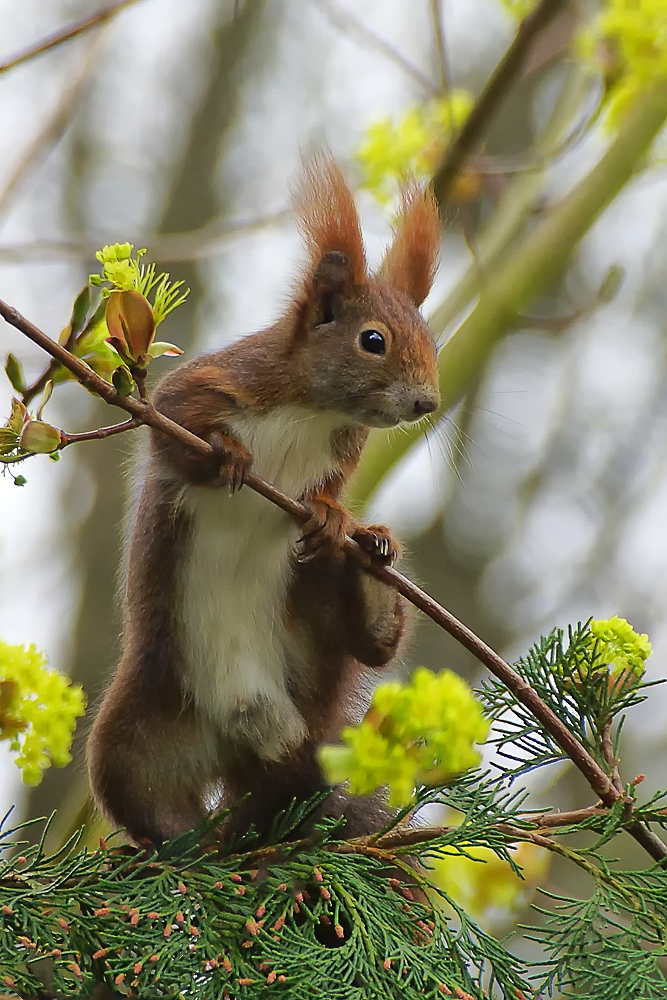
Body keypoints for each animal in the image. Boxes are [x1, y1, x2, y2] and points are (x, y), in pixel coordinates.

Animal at [88, 156, 444, 844]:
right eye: (373, 340)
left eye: (432, 342)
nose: (426, 402)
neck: (312, 409)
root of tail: (275, 750)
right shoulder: (212, 383)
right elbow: (172, 427)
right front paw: (228, 454)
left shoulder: (342, 450)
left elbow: (328, 491)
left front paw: (332, 513)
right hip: (136, 735)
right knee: (150, 805)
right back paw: (178, 847)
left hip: (313, 628)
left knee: (371, 644)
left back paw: (372, 563)